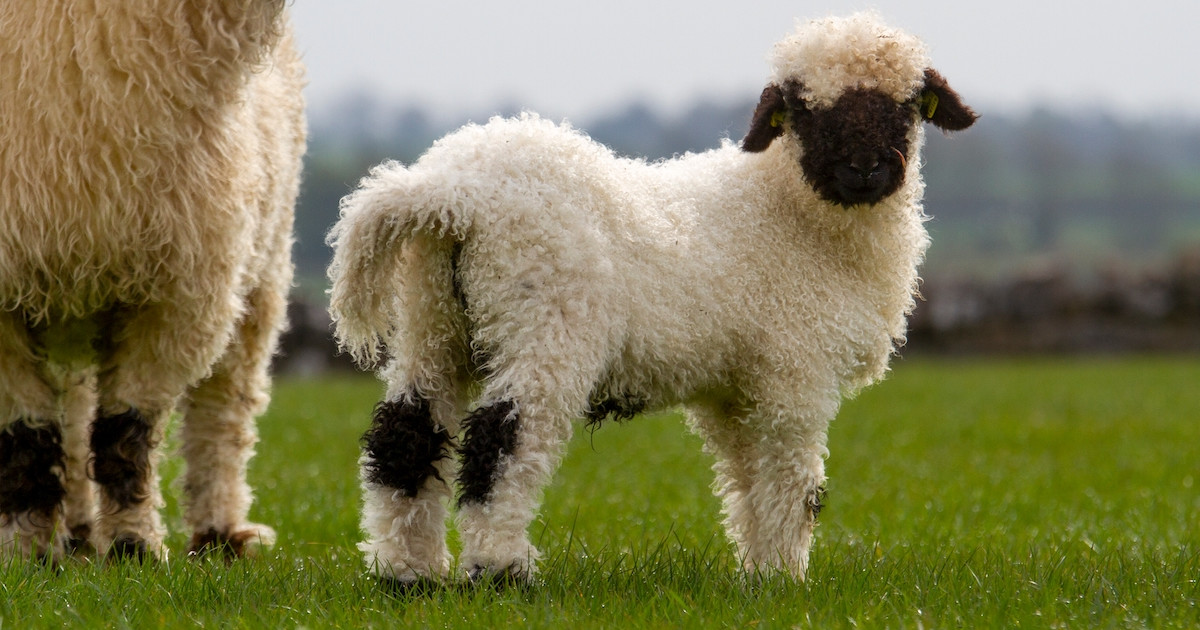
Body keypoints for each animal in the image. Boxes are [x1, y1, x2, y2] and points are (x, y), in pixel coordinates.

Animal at [0, 1, 306, 562]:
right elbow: (24, 436)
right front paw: (25, 553)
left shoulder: (175, 296)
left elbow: (128, 429)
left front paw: (134, 546)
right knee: (75, 411)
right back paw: (76, 531)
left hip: (257, 268)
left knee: (223, 411)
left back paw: (221, 532)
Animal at [326, 12, 976, 586]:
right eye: (804, 110)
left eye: (907, 105)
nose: (863, 169)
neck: (788, 212)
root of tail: (449, 191)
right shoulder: (794, 373)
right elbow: (794, 484)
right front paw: (789, 578)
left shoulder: (735, 391)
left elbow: (747, 484)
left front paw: (759, 577)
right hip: (545, 325)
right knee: (504, 439)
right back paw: (501, 570)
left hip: (431, 317)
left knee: (403, 434)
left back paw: (407, 574)